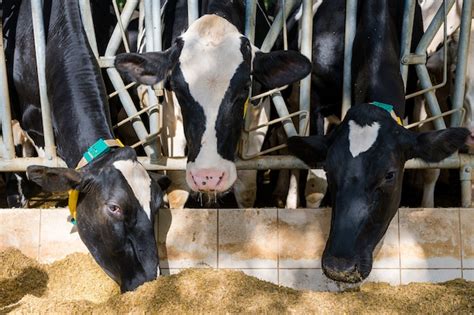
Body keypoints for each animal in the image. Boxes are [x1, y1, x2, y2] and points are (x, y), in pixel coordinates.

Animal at [114, 0, 312, 198]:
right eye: (177, 89)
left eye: (245, 87)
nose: (208, 176)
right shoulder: (169, 118)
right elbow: (177, 183)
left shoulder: (259, 112)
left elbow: (247, 184)